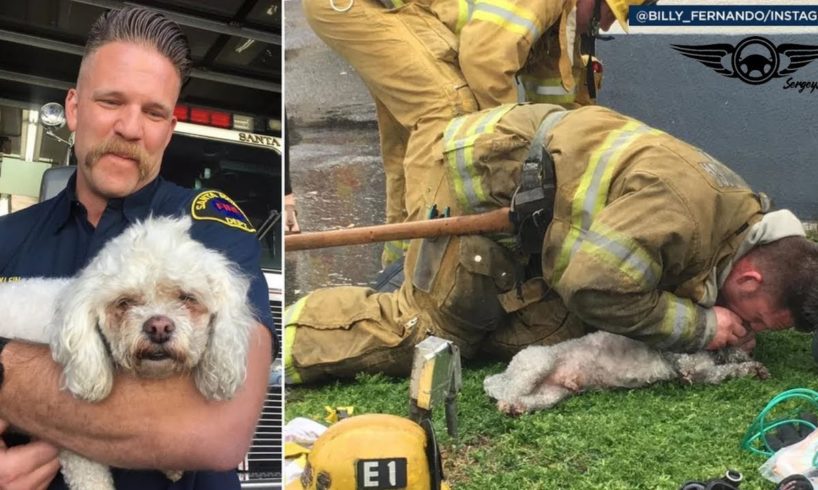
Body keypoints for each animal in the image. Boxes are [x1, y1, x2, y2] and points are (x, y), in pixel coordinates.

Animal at [482, 332, 768, 416]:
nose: (753, 350)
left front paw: (755, 367)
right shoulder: (694, 370)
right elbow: (725, 370)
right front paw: (752, 367)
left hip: (551, 394)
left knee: (526, 399)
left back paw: (516, 409)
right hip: (537, 363)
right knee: (507, 392)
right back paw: (506, 405)